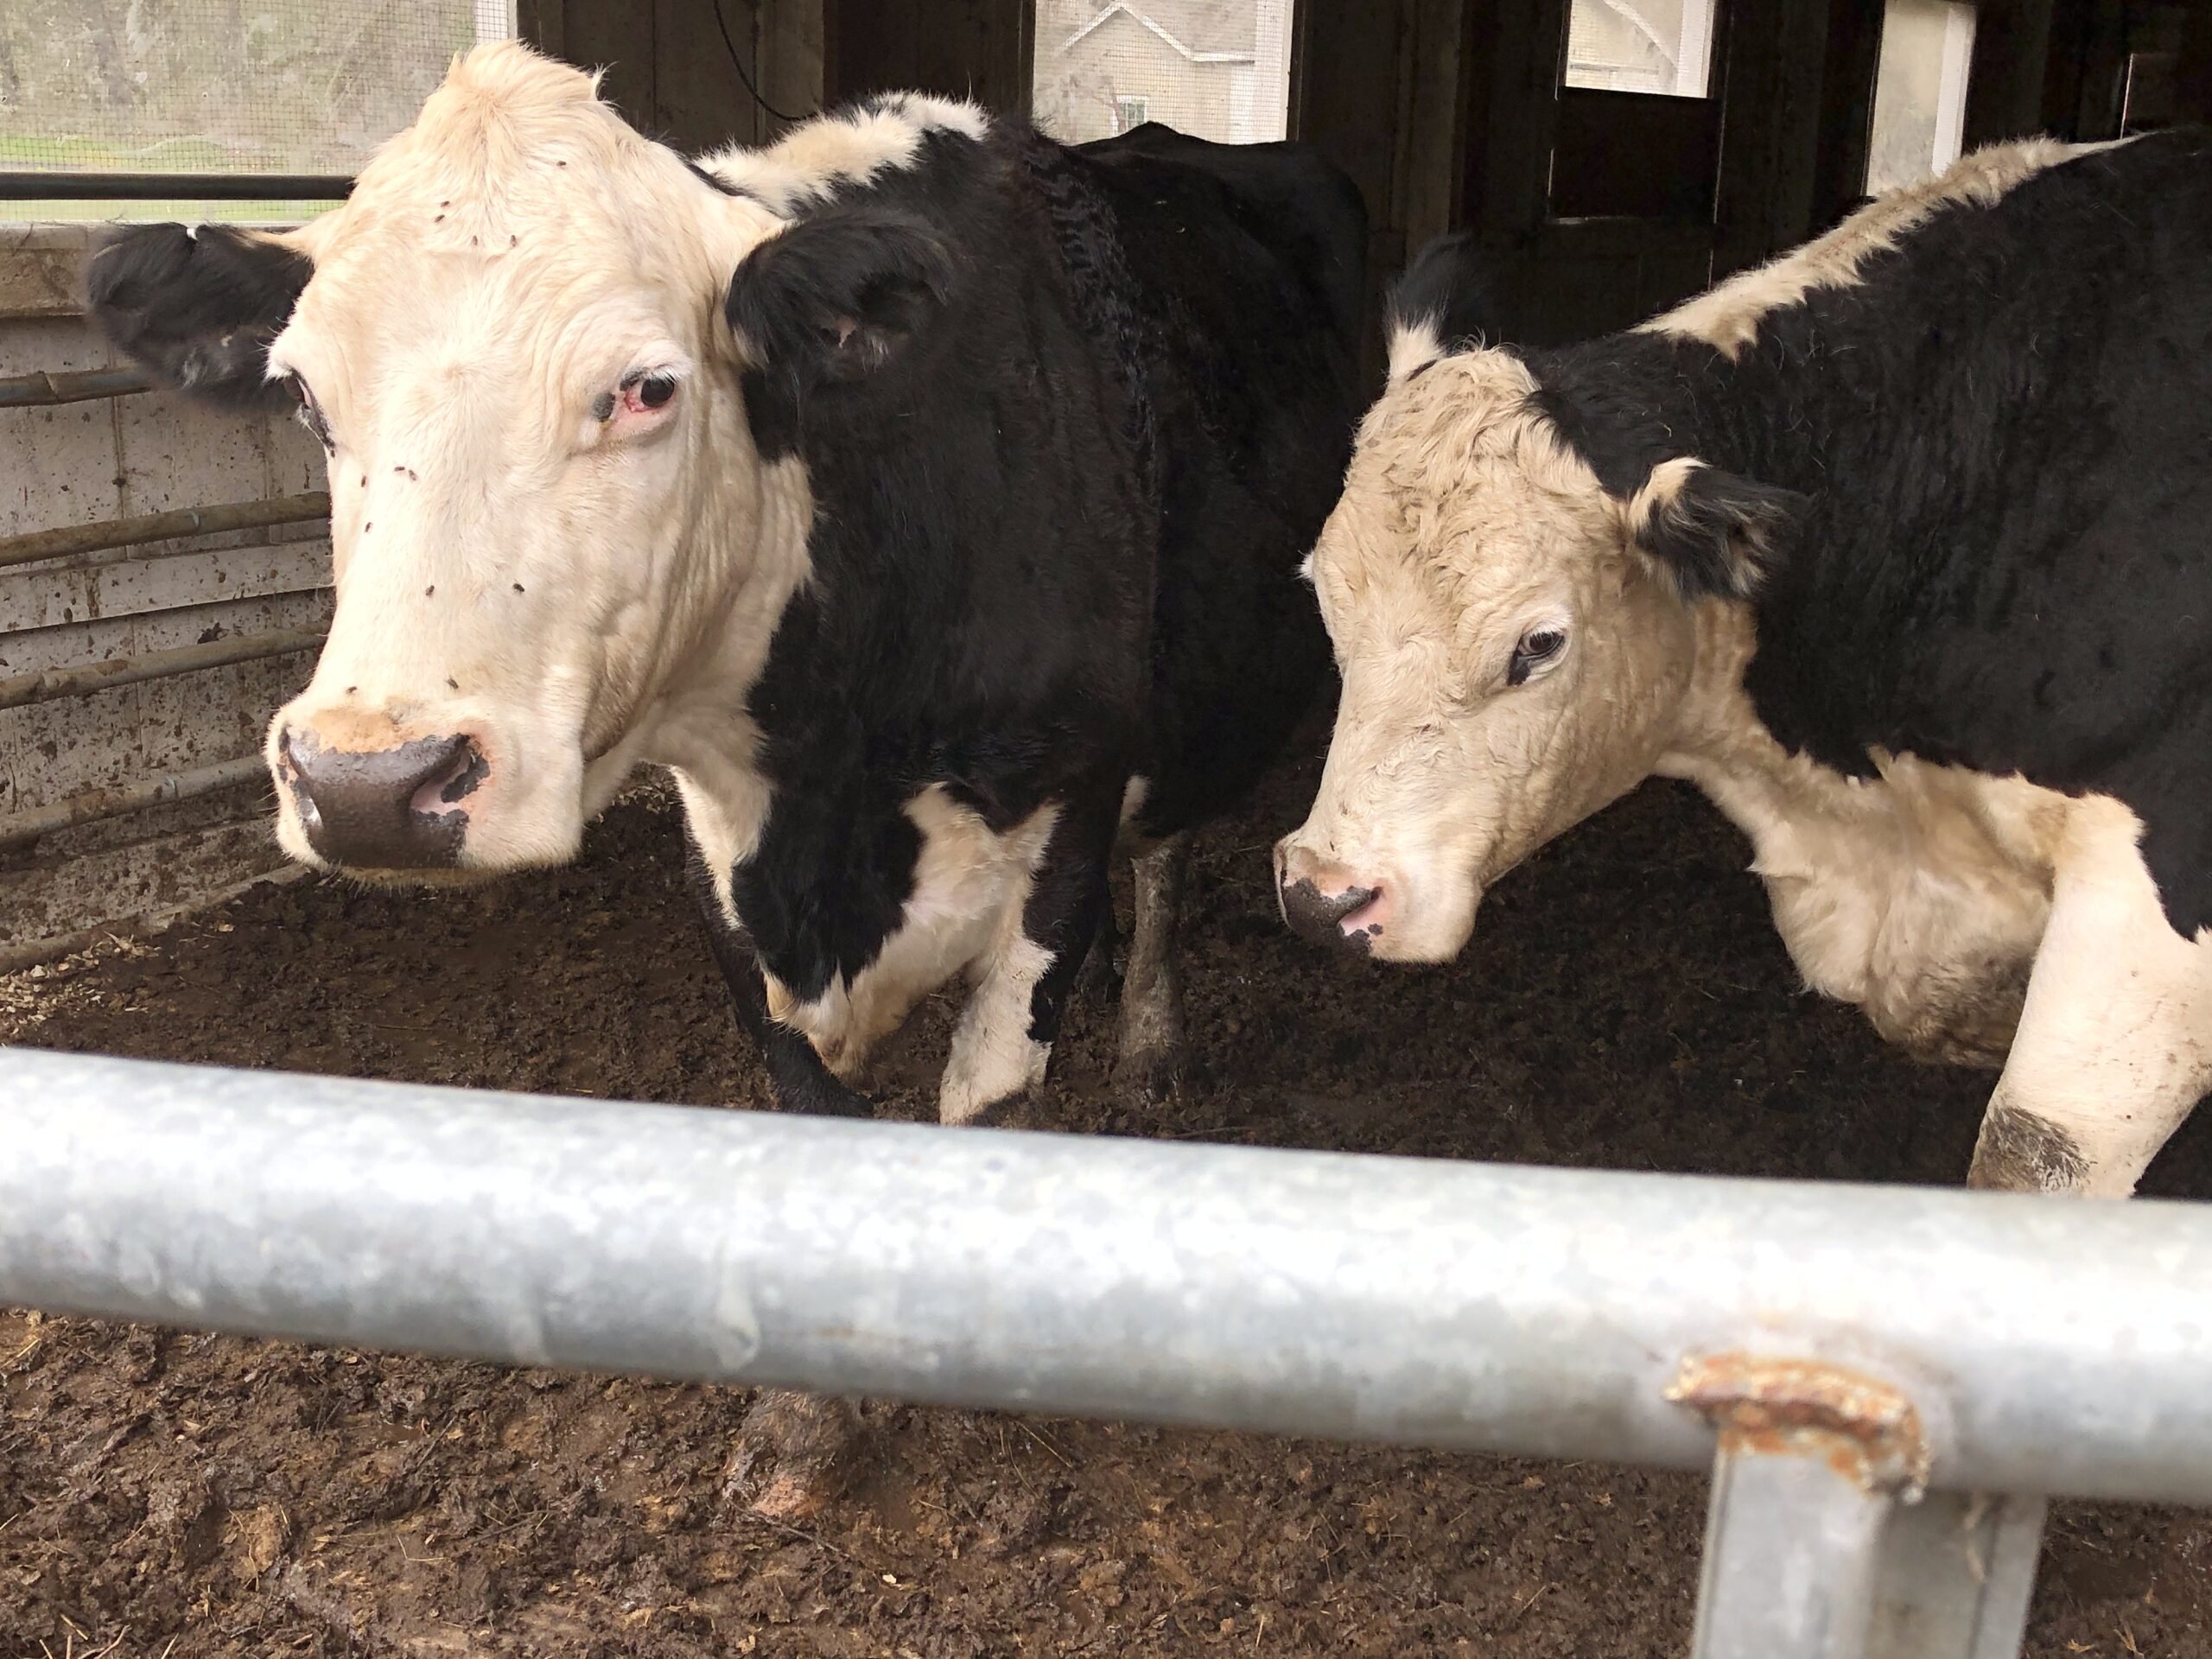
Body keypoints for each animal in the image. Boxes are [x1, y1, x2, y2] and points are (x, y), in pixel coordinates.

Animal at [88, 42, 1364, 1134]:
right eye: (304, 395)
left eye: (647, 387)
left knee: (1166, 853)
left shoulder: (1063, 824)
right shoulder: (727, 876)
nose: (365, 786)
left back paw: (1147, 1037)